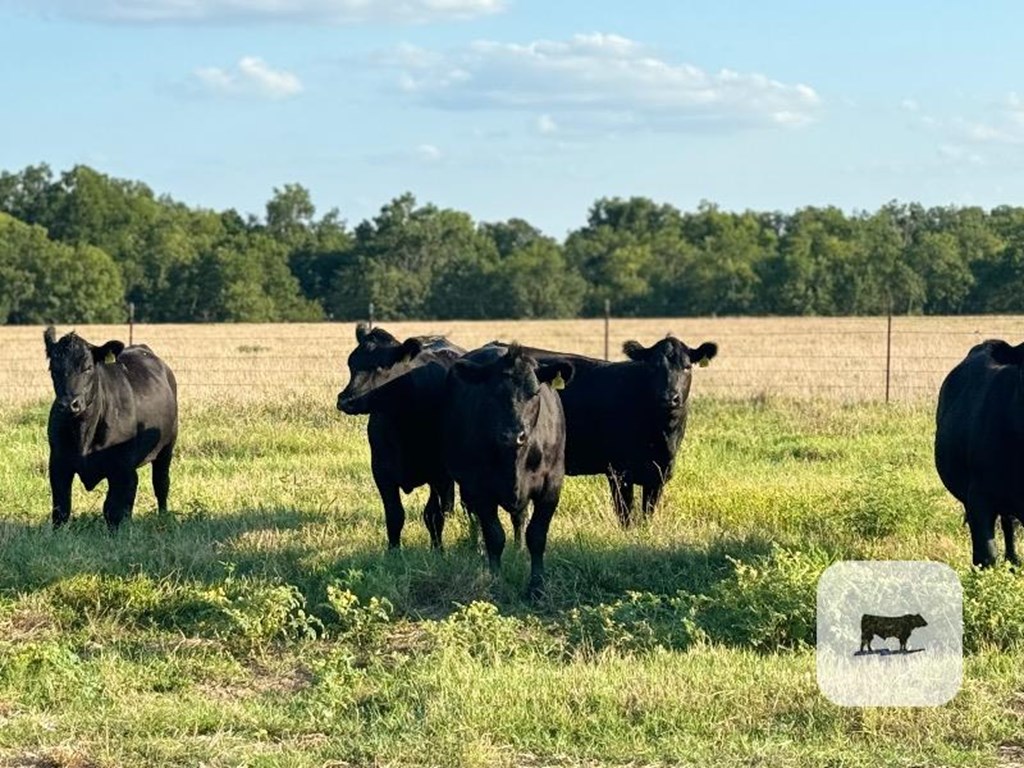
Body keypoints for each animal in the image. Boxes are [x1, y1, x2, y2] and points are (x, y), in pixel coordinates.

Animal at [43, 327, 178, 532]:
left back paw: (162, 517)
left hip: (166, 448)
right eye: (53, 369)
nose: (68, 404)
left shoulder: (121, 467)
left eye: (88, 367)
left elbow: (112, 509)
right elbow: (61, 509)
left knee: (161, 484)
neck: (84, 434)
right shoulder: (58, 464)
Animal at [335, 325, 464, 552]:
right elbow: (394, 515)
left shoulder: (437, 474)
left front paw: (438, 550)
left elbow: (432, 515)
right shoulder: (381, 471)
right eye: (351, 363)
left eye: (381, 366)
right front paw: (393, 551)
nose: (345, 400)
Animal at [442, 344, 577, 602]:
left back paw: (518, 548)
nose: (513, 435)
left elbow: (537, 535)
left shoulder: (552, 485)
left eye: (534, 393)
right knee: (473, 516)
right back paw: (477, 548)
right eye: (493, 393)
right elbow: (494, 536)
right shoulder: (479, 487)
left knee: (519, 518)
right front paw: (496, 582)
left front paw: (537, 587)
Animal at [483, 337, 716, 528]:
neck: (662, 436)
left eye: (687, 367)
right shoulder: (619, 471)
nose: (669, 397)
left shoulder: (659, 473)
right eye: (653, 368)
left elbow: (647, 514)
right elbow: (625, 515)